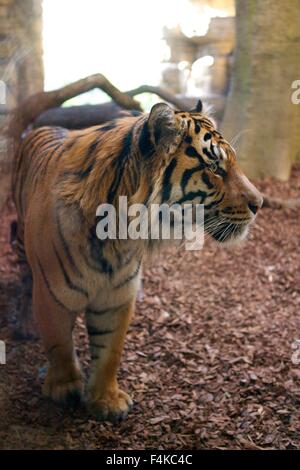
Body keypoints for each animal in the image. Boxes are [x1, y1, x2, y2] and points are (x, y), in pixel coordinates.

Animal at [11, 97, 262, 420]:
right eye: (214, 167)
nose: (259, 203)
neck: (118, 236)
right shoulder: (53, 295)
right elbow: (60, 344)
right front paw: (64, 388)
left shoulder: (117, 296)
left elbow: (110, 351)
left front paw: (105, 400)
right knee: (24, 278)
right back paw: (26, 325)